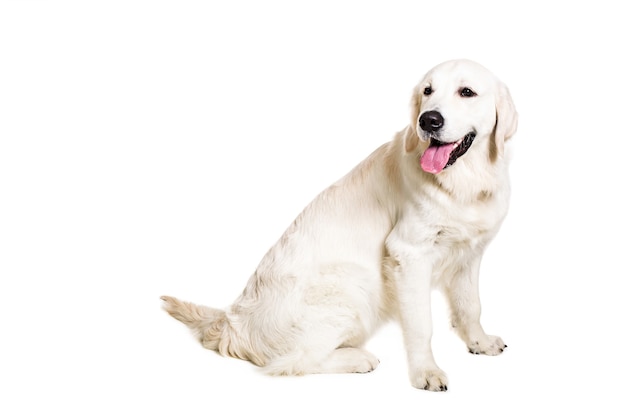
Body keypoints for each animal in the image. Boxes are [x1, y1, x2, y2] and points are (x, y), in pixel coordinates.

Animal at [161, 58, 516, 390]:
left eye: (466, 92)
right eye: (428, 91)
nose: (427, 120)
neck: (464, 183)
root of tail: (234, 324)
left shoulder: (469, 252)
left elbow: (471, 306)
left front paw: (480, 342)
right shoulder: (408, 255)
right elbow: (421, 325)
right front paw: (425, 372)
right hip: (354, 284)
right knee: (294, 362)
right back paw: (357, 357)